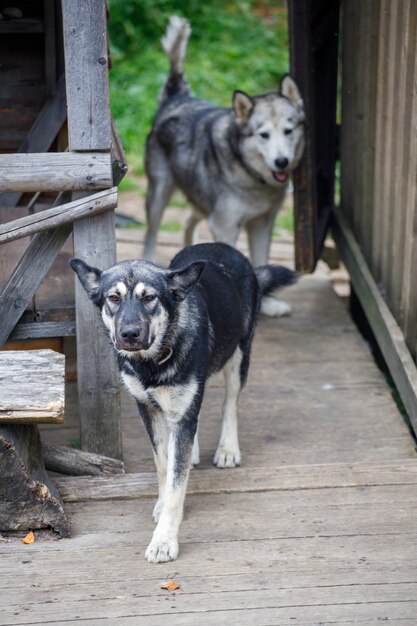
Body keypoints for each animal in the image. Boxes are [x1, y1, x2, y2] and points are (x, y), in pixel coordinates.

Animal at [70, 241, 296, 560]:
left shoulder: (184, 407)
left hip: (238, 357)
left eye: (149, 297)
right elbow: (165, 466)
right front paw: (163, 502)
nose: (129, 334)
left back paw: (228, 448)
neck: (152, 362)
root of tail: (221, 246)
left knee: (229, 403)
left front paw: (164, 540)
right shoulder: (148, 410)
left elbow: (177, 485)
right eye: (113, 298)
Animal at [144, 17, 306, 314]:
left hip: (202, 201)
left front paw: (267, 303)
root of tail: (178, 97)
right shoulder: (225, 225)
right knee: (151, 234)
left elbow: (261, 259)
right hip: (159, 193)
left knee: (189, 221)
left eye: (289, 131)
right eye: (263, 135)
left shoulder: (262, 223)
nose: (281, 161)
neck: (251, 176)